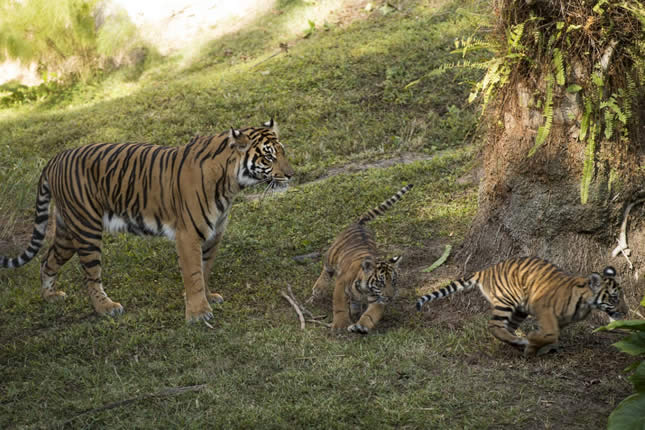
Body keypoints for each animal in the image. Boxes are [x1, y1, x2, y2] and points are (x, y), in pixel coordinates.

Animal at [1, 119, 294, 320]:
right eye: (269, 156)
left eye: (283, 151)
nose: (291, 174)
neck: (231, 184)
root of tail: (54, 158)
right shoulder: (188, 234)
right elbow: (194, 273)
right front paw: (198, 313)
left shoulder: (214, 234)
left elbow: (205, 269)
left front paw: (207, 297)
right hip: (86, 229)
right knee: (91, 276)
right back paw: (106, 308)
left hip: (67, 231)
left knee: (47, 261)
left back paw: (50, 297)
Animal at [308, 183, 410, 334]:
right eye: (381, 283)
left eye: (394, 281)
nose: (390, 297)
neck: (365, 289)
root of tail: (360, 224)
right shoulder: (340, 286)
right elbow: (339, 307)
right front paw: (340, 325)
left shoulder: (377, 299)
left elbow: (371, 315)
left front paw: (361, 326)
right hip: (331, 256)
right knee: (326, 270)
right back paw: (318, 289)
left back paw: (355, 311)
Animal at [416, 256, 620, 354]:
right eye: (614, 298)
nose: (624, 313)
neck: (586, 303)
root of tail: (486, 270)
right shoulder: (543, 309)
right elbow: (550, 333)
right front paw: (532, 344)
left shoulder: (560, 320)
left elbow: (551, 335)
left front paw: (536, 345)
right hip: (507, 300)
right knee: (494, 325)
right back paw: (520, 341)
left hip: (520, 309)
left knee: (507, 328)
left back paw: (516, 342)